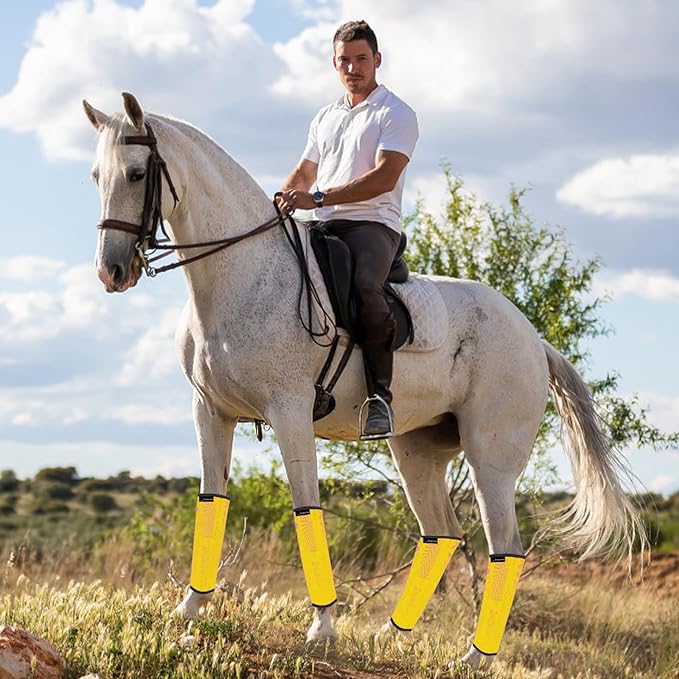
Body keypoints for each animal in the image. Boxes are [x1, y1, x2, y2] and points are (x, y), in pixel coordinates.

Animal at [82, 93, 644, 672]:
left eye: (137, 173)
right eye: (97, 175)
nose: (112, 272)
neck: (240, 275)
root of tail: (535, 341)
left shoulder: (288, 412)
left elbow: (305, 509)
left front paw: (322, 628)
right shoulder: (210, 412)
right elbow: (211, 502)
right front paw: (190, 609)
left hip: (491, 458)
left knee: (505, 547)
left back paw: (473, 657)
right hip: (417, 449)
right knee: (442, 532)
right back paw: (390, 636)